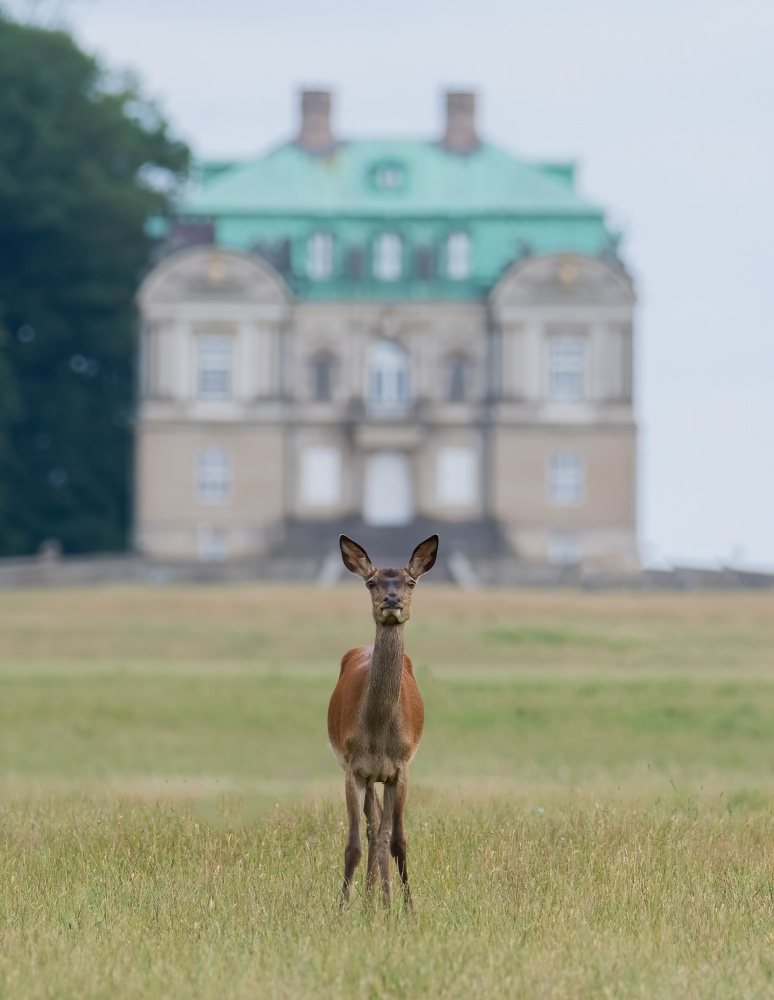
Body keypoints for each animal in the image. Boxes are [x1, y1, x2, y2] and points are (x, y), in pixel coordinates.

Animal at [326, 532, 436, 908]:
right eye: (371, 582)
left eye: (410, 582)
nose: (392, 600)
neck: (377, 735)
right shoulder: (353, 769)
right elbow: (353, 845)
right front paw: (343, 909)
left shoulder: (400, 768)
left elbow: (399, 840)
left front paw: (407, 909)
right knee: (374, 828)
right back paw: (371, 898)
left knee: (384, 830)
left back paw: (381, 900)